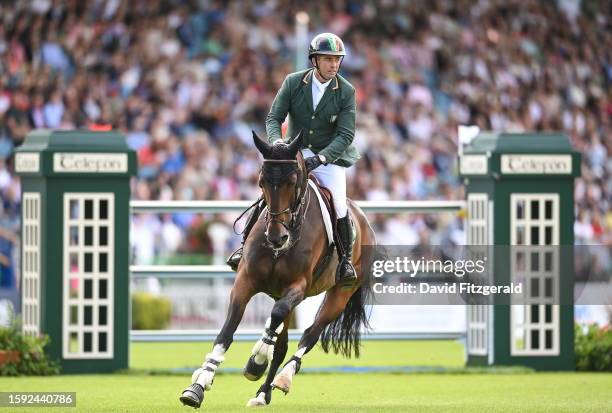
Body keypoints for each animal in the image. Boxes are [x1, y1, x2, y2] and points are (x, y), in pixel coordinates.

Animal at [179, 131, 376, 406]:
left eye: (292, 182)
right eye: (261, 181)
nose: (276, 238)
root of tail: (364, 219)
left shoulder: (298, 287)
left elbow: (278, 316)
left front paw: (257, 360)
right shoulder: (245, 281)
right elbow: (227, 331)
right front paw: (198, 386)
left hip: (340, 293)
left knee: (308, 334)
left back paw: (282, 378)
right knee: (281, 341)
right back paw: (263, 393)